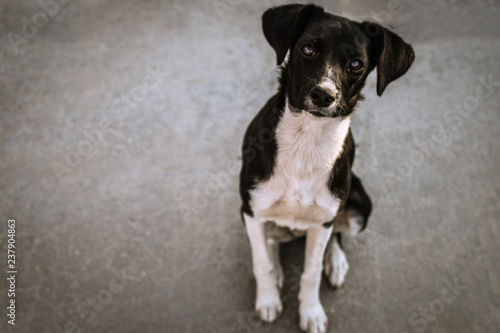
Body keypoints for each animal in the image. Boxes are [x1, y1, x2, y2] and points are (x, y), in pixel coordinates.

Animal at [238, 3, 414, 332]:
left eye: (356, 64)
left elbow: (312, 271)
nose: (323, 95)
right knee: (272, 239)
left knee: (337, 234)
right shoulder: (251, 210)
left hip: (360, 205)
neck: (306, 139)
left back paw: (336, 261)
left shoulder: (323, 221)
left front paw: (311, 312)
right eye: (308, 48)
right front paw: (267, 300)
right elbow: (261, 262)